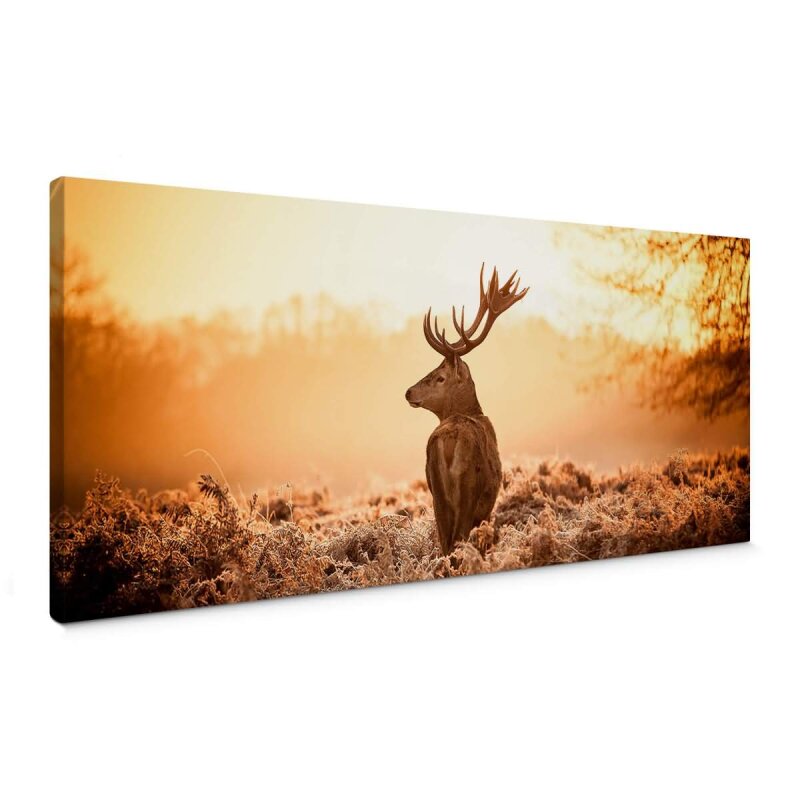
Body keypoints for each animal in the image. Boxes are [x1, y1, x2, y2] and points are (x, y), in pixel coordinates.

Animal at [405, 265, 529, 555]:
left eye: (439, 377)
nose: (408, 392)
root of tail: (448, 442)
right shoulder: (486, 507)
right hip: (468, 493)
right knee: (457, 544)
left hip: (437, 496)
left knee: (445, 545)